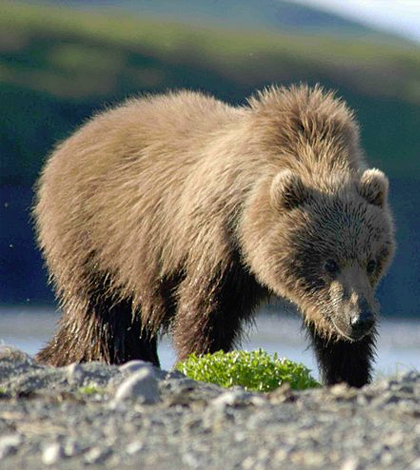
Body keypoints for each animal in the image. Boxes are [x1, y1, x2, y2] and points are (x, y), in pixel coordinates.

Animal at [32, 84, 394, 386]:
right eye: (329, 263)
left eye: (372, 261)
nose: (360, 319)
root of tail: (69, 142)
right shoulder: (218, 244)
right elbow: (205, 312)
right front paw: (201, 361)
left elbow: (335, 339)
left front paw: (351, 374)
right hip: (96, 237)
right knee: (106, 315)